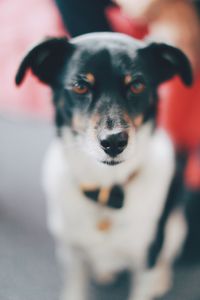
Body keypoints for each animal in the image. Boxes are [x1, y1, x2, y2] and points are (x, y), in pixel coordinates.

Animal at [15, 32, 192, 300]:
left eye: (137, 85)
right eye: (80, 86)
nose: (114, 142)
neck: (106, 188)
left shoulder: (145, 258)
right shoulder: (71, 254)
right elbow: (74, 288)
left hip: (177, 227)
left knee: (166, 257)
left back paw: (160, 278)